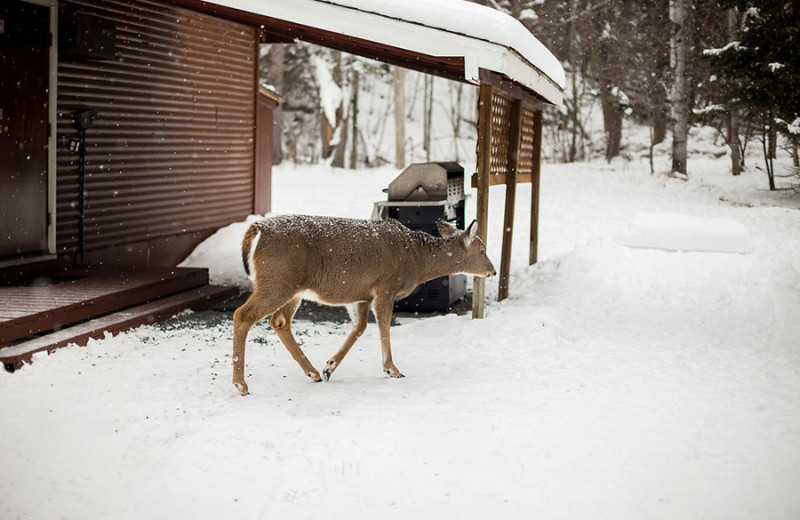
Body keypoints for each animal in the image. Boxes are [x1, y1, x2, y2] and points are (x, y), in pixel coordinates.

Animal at [230, 214, 494, 394]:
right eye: (482, 249)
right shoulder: (385, 286)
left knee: (279, 321)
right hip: (278, 280)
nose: (492, 271)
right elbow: (384, 325)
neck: (417, 259)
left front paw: (329, 367)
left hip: (292, 288)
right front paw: (392, 369)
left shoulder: (360, 295)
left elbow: (359, 328)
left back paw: (313, 373)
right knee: (242, 315)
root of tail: (258, 229)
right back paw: (241, 384)